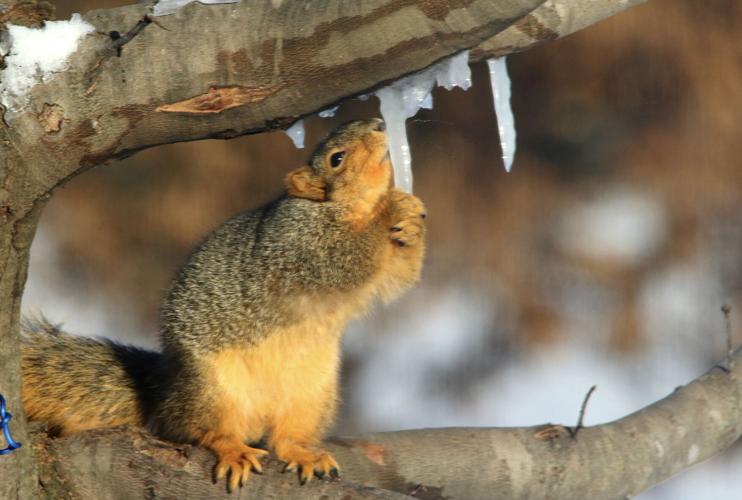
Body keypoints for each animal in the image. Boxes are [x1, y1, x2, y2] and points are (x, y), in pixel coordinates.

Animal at [20, 118, 426, 491]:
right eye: (336, 159)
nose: (379, 124)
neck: (349, 208)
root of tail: (167, 390)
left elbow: (398, 280)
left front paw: (413, 218)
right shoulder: (299, 245)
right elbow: (345, 259)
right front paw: (393, 206)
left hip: (312, 395)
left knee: (285, 438)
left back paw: (304, 454)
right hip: (211, 389)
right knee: (200, 430)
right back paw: (233, 449)